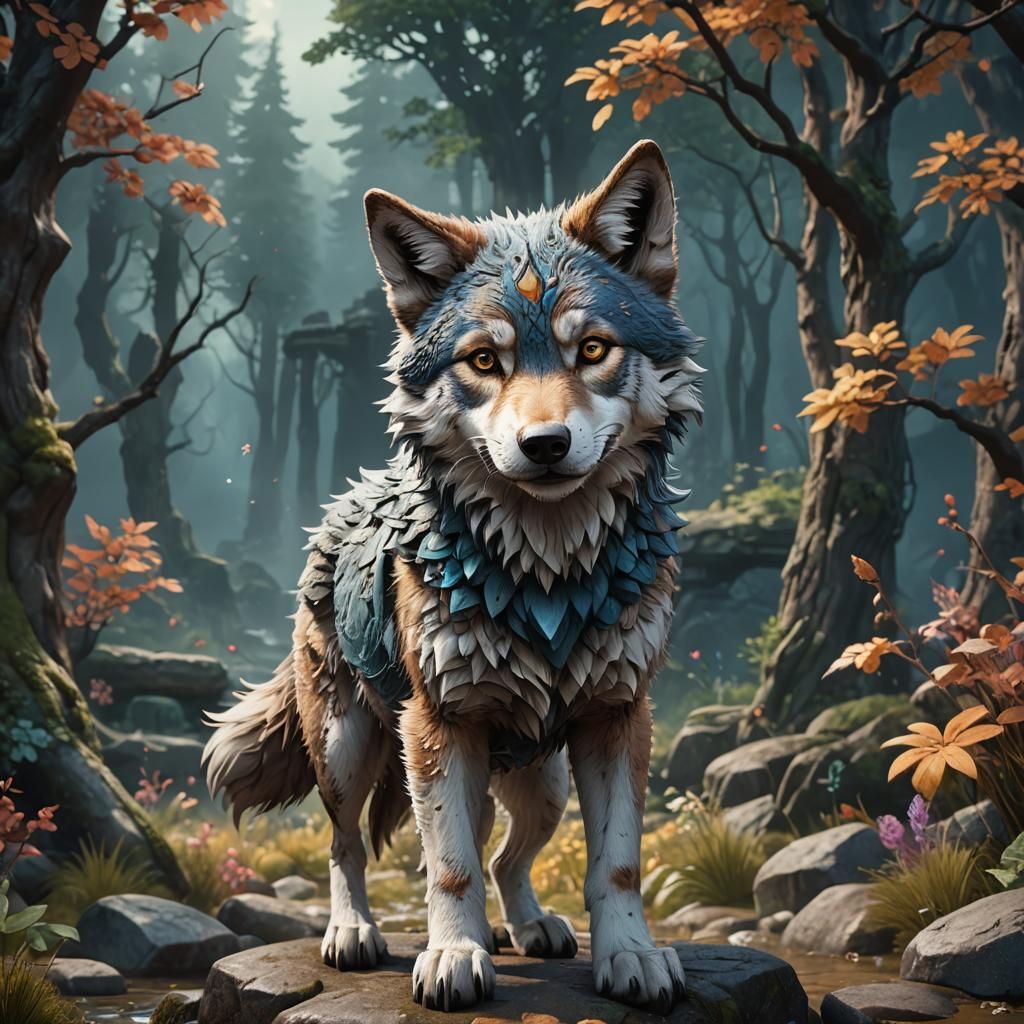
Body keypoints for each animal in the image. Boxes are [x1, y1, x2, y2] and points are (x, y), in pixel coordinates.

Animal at [203, 139, 703, 1014]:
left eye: (593, 350)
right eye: (483, 361)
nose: (545, 444)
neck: (547, 573)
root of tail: (346, 497)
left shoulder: (618, 719)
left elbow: (615, 863)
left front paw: (632, 957)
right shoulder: (437, 727)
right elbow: (448, 866)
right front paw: (454, 959)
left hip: (542, 781)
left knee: (509, 855)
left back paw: (533, 928)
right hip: (351, 747)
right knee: (347, 845)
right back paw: (354, 934)